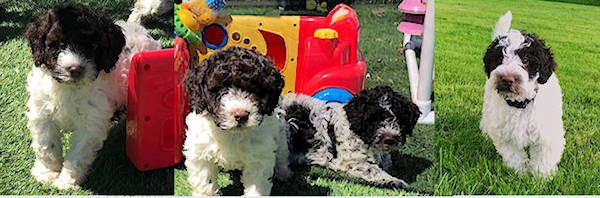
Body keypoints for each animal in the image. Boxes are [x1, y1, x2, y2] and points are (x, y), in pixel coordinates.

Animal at [24, 3, 162, 189]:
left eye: (92, 46)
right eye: (58, 45)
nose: (75, 69)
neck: (70, 88)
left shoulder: (90, 123)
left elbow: (78, 153)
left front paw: (67, 180)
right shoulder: (42, 112)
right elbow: (46, 145)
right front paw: (47, 173)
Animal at [184, 46, 292, 196]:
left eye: (256, 89)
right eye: (220, 88)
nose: (241, 115)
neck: (232, 133)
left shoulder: (259, 157)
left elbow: (257, 185)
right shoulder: (200, 152)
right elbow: (205, 183)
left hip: (280, 134)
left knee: (282, 154)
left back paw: (283, 173)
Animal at [278, 86, 420, 190]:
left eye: (399, 119)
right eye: (374, 119)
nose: (389, 138)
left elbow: (386, 161)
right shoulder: (351, 162)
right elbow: (373, 169)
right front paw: (395, 181)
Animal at [480, 11, 564, 177]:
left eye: (525, 59)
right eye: (499, 58)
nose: (507, 79)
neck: (520, 103)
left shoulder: (546, 135)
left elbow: (543, 159)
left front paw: (540, 178)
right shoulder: (504, 135)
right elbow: (514, 156)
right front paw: (521, 173)